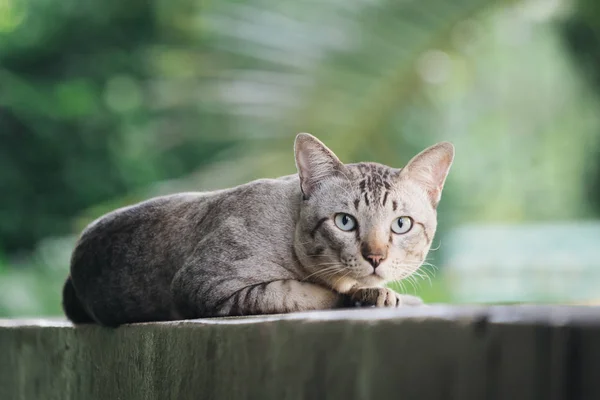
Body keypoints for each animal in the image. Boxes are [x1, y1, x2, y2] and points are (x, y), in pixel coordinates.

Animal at [62, 133, 454, 326]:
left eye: (401, 225)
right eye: (345, 221)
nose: (375, 257)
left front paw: (379, 293)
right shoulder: (208, 286)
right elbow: (309, 293)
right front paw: (370, 295)